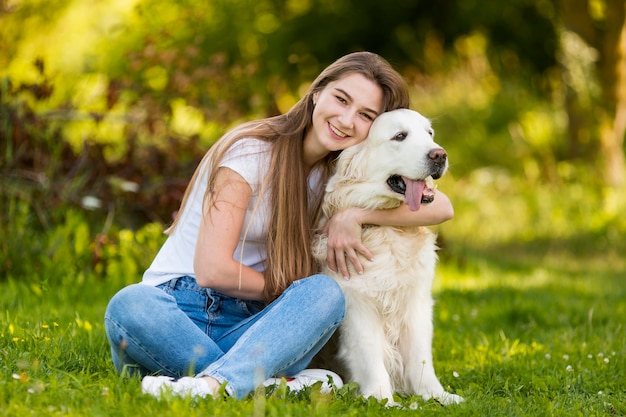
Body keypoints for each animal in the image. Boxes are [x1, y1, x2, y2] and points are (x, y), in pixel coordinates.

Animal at [312, 109, 464, 404]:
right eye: (400, 136)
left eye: (429, 133)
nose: (439, 155)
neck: (388, 230)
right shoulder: (358, 305)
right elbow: (370, 356)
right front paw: (381, 399)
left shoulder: (416, 304)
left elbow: (421, 358)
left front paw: (436, 395)